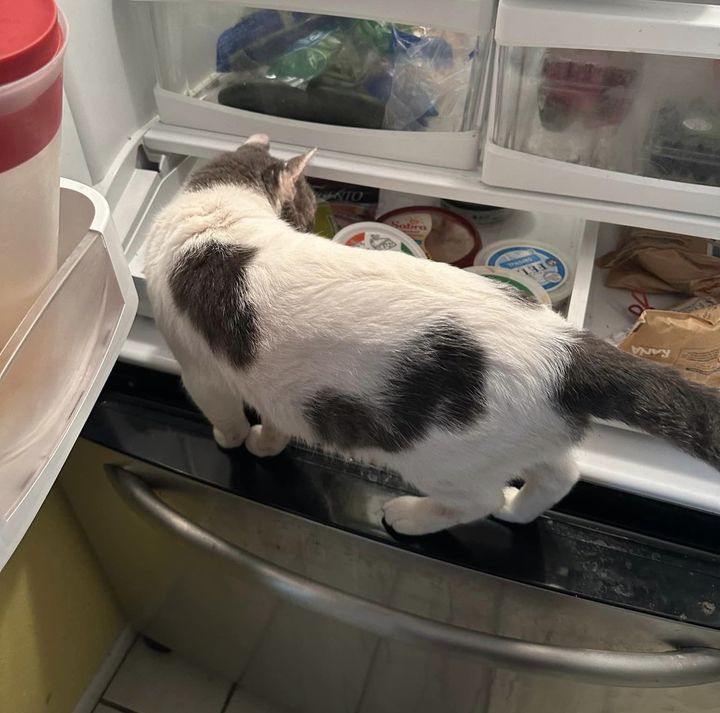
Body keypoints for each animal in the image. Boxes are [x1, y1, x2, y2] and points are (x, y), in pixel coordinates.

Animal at [145, 135, 720, 536]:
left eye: (305, 208)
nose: (311, 221)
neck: (218, 218)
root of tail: (568, 350)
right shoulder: (282, 389)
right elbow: (278, 419)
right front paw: (267, 441)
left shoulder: (201, 372)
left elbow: (225, 412)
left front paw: (236, 440)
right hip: (527, 435)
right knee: (561, 474)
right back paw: (519, 513)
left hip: (444, 460)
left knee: (480, 501)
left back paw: (414, 516)